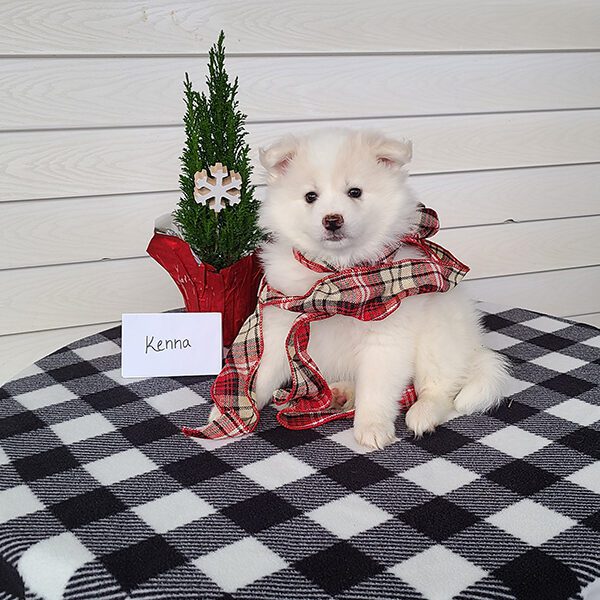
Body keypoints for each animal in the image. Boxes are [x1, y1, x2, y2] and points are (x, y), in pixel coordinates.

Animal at [241, 129, 508, 448]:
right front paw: (236, 412)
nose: (332, 220)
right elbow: (263, 371)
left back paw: (422, 413)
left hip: (439, 339)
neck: (339, 276)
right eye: (310, 197)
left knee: (440, 387)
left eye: (355, 192)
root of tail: (474, 346)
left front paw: (372, 427)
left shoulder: (386, 340)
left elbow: (377, 389)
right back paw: (340, 394)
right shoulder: (282, 324)